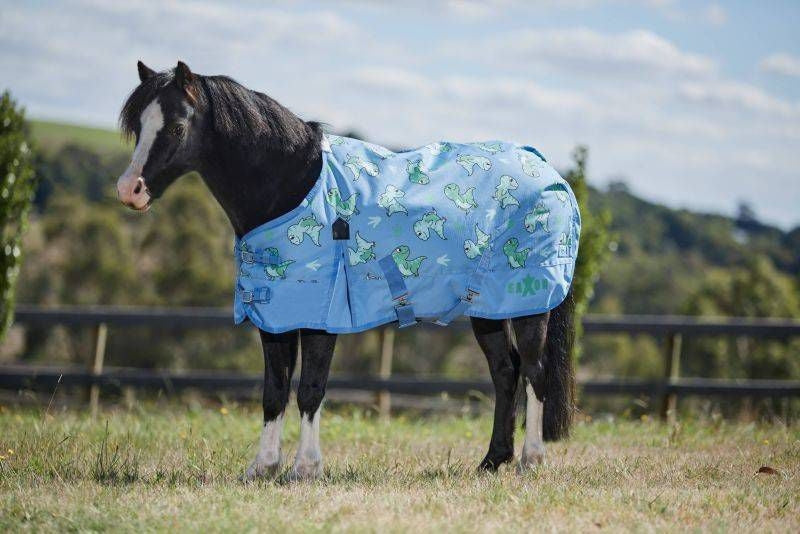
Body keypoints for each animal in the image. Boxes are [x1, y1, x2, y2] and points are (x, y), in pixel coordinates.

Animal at [116, 61, 577, 480]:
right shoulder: (277, 314)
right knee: (505, 372)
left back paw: (531, 462)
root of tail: (546, 169)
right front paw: (263, 467)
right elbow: (274, 391)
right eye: (138, 125)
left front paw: (305, 468)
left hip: (529, 302)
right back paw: (492, 461)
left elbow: (310, 390)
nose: (129, 190)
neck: (292, 186)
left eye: (177, 127)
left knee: (534, 372)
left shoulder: (322, 314)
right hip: (488, 308)